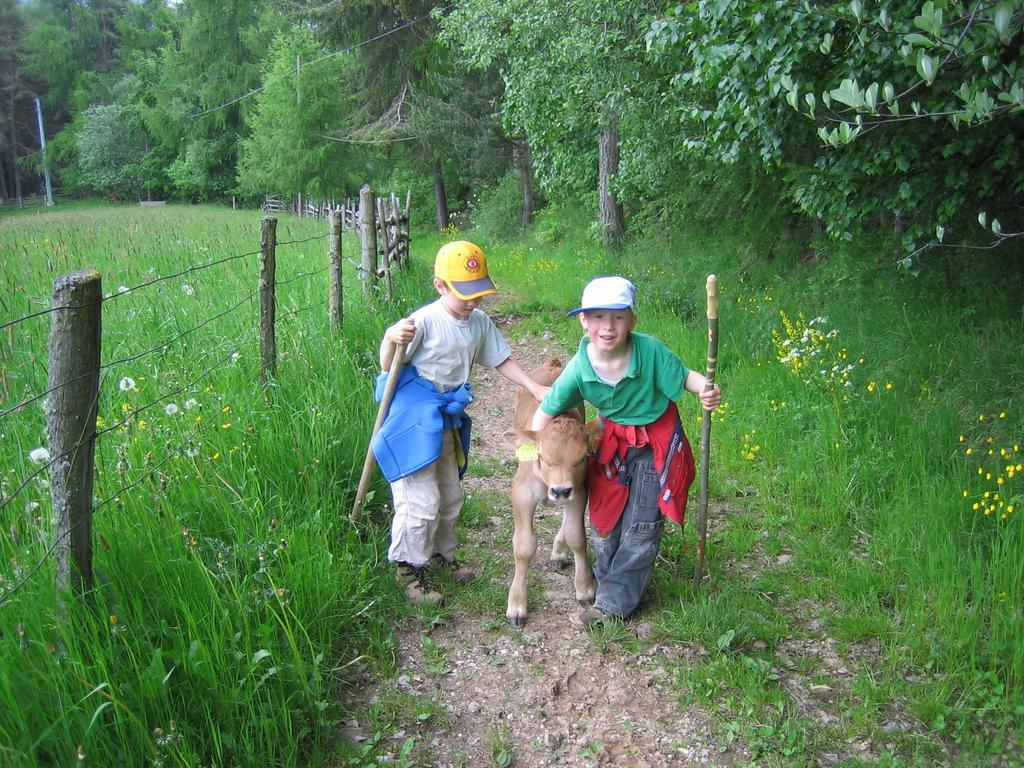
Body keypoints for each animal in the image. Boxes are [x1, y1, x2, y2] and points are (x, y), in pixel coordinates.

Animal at [499, 360, 598, 626]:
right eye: (542, 457)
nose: (561, 489)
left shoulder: (580, 490)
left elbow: (577, 536)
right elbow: (524, 546)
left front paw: (585, 588)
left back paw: (558, 552)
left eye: (582, 458)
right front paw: (516, 605)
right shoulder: (522, 492)